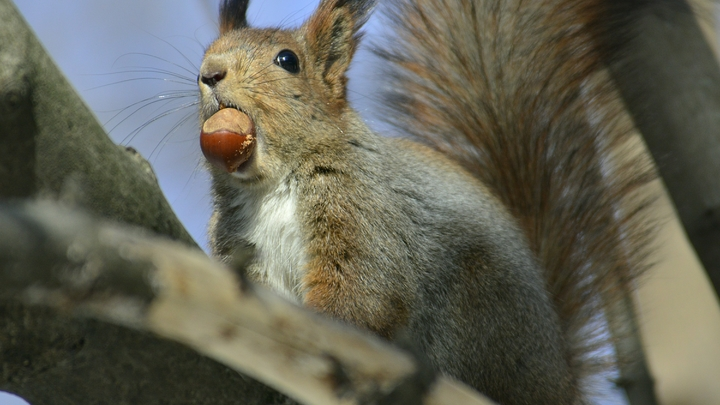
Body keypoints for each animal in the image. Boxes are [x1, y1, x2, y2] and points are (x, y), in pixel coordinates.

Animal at [194, 0, 656, 400]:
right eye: (208, 51)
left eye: (287, 60)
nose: (210, 73)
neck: (269, 187)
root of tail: (560, 382)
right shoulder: (241, 246)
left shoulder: (364, 215)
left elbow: (362, 295)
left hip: (474, 310)